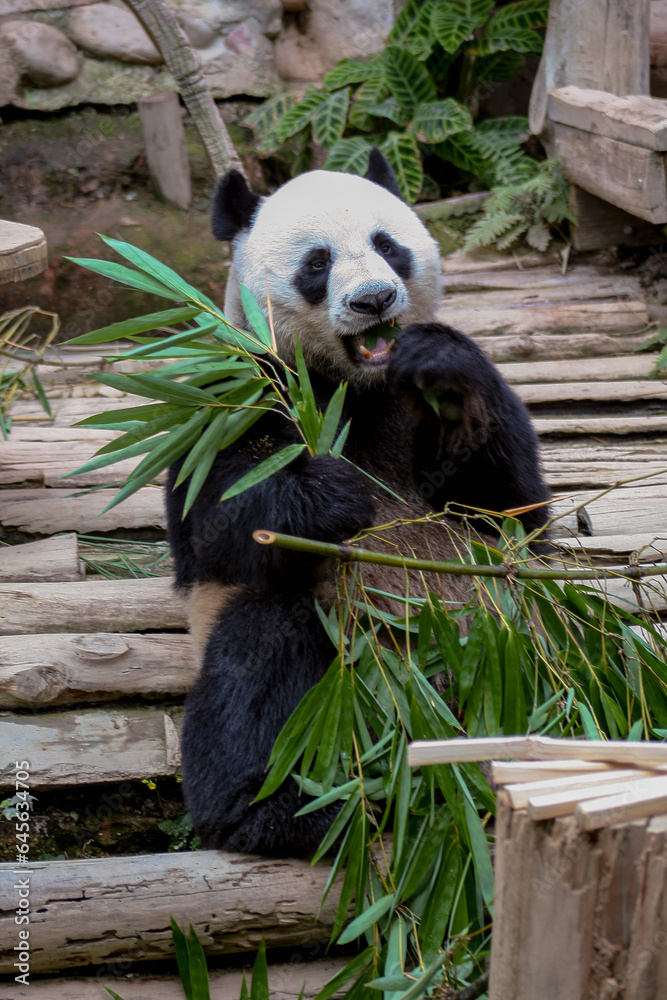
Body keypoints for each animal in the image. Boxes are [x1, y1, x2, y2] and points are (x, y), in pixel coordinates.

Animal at [167, 149, 550, 856]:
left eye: (387, 245)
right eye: (317, 263)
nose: (374, 300)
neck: (354, 386)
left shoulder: (416, 406)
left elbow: (511, 511)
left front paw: (446, 371)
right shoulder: (228, 397)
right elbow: (215, 522)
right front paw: (330, 494)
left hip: (515, 641)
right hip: (327, 657)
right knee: (263, 659)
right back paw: (269, 811)